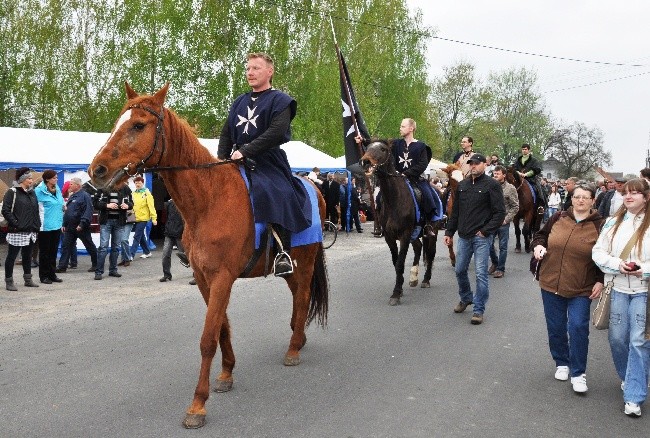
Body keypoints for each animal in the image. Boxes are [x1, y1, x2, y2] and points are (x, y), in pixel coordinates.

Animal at [87, 84, 330, 430]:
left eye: (138, 125)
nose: (98, 171)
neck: (208, 199)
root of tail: (315, 186)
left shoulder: (223, 278)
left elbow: (207, 339)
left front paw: (197, 405)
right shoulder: (205, 279)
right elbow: (222, 328)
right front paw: (227, 374)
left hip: (306, 261)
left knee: (304, 295)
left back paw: (294, 349)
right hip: (291, 268)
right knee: (298, 295)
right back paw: (300, 338)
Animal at [360, 140, 436, 304]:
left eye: (383, 149)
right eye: (367, 148)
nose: (365, 162)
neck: (394, 199)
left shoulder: (405, 235)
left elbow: (400, 263)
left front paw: (396, 294)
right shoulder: (389, 237)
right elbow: (396, 263)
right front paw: (399, 288)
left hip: (432, 232)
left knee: (431, 253)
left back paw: (426, 280)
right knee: (419, 247)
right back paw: (413, 277)